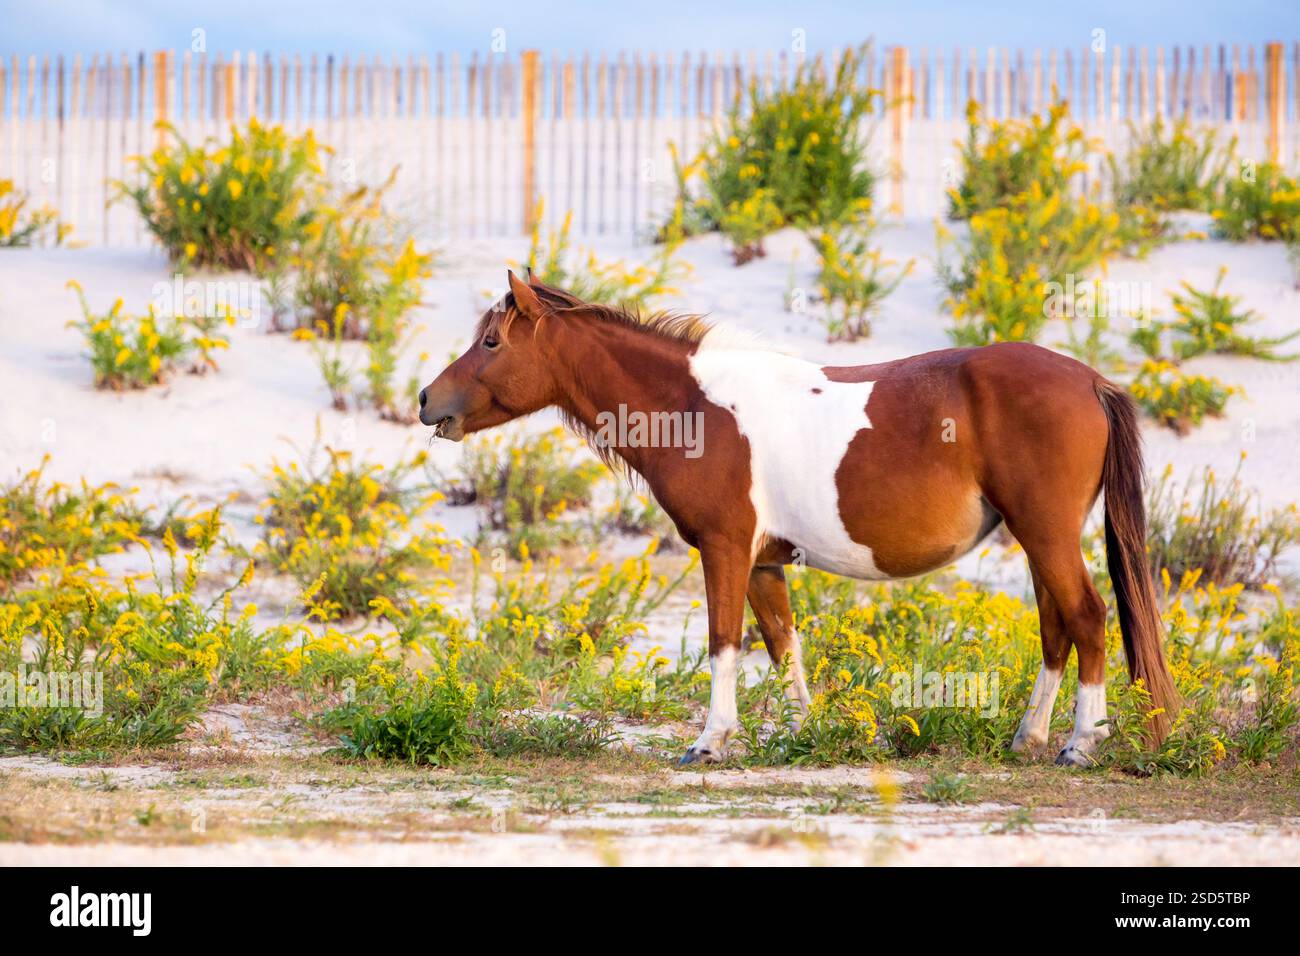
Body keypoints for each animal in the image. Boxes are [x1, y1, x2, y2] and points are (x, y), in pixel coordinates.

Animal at [419, 271, 1178, 767]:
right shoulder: (762, 563)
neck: (694, 407)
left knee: (1087, 618)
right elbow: (785, 649)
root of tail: (1090, 380)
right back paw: (1031, 738)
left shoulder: (724, 550)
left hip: (1046, 535)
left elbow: (725, 643)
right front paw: (800, 733)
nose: (428, 400)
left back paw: (1082, 743)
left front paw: (709, 741)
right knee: (1057, 627)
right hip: (1038, 539)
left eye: (492, 342)